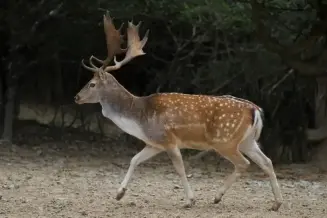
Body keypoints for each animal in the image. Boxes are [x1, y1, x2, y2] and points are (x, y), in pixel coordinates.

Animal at [75, 11, 284, 211]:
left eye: (92, 84)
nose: (76, 97)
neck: (139, 118)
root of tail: (255, 110)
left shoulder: (168, 139)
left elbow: (180, 168)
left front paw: (190, 200)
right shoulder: (154, 143)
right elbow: (134, 159)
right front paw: (119, 194)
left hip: (225, 141)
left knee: (244, 163)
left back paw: (217, 197)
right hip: (248, 141)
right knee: (267, 161)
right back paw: (276, 203)